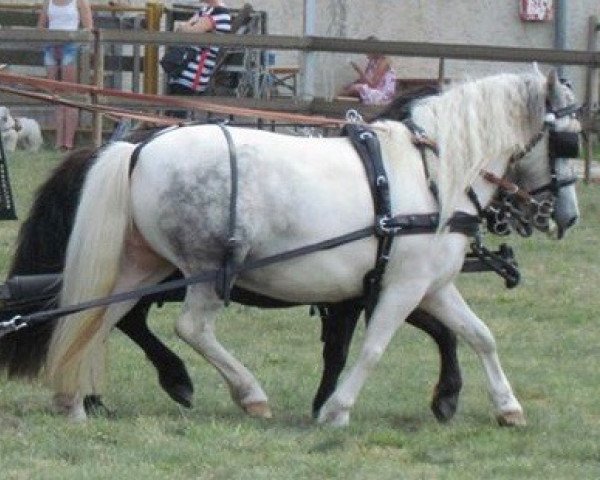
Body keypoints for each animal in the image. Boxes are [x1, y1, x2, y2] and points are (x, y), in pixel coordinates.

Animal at [44, 67, 580, 424]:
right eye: (569, 140)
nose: (568, 216)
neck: (434, 176)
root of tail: (139, 148)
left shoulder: (432, 285)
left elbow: (479, 335)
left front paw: (507, 407)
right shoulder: (401, 286)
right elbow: (375, 345)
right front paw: (336, 409)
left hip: (143, 263)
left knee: (99, 317)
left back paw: (75, 400)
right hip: (206, 268)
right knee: (190, 328)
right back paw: (246, 393)